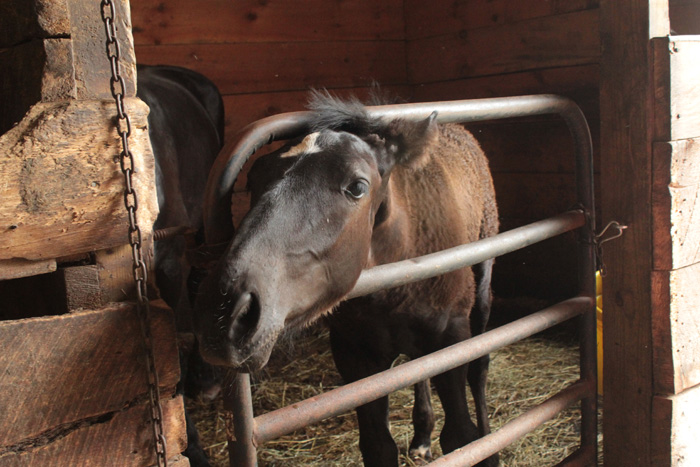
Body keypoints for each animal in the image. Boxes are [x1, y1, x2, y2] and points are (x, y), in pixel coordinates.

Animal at [193, 91, 499, 466]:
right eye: (252, 179)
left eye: (357, 187)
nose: (224, 315)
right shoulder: (356, 358)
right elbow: (379, 446)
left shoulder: (451, 340)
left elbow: (461, 437)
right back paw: (421, 435)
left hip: (481, 288)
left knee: (480, 367)